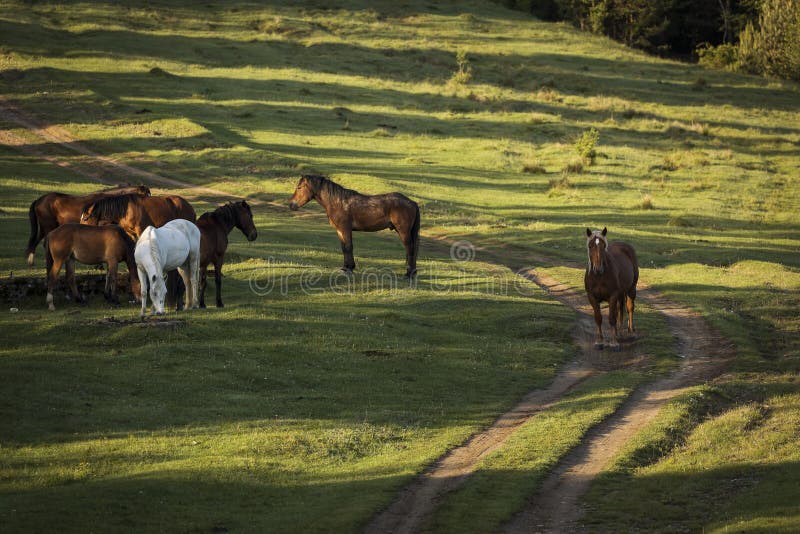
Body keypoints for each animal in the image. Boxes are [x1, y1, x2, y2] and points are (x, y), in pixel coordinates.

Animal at [290, 176, 422, 278]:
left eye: (299, 187)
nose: (291, 204)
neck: (338, 202)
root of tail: (412, 202)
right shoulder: (340, 230)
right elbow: (344, 248)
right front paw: (345, 268)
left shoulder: (345, 229)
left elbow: (349, 247)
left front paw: (350, 268)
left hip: (403, 231)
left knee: (410, 248)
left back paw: (409, 274)